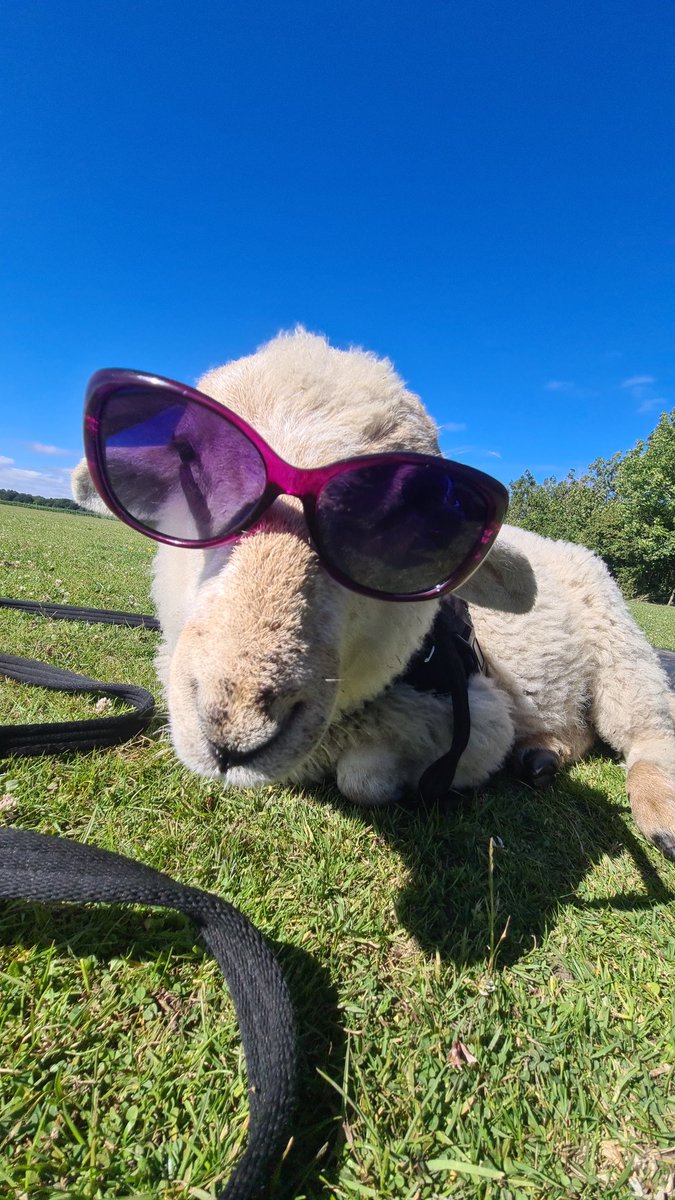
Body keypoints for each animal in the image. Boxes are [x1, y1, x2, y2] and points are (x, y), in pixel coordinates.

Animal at [73, 329, 675, 860]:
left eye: (404, 523)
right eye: (187, 460)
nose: (232, 729)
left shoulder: (481, 721)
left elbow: (360, 778)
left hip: (621, 647)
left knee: (646, 729)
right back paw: (544, 755)